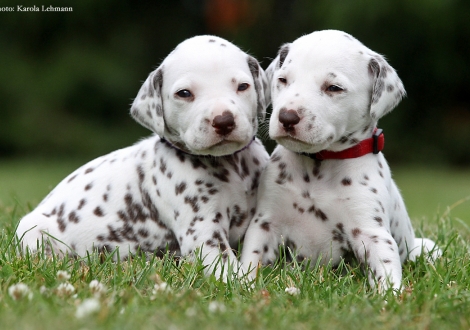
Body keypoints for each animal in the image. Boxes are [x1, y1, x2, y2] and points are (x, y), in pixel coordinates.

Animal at [15, 35, 272, 278]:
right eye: (184, 93)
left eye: (242, 86)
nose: (224, 121)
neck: (232, 166)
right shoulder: (202, 232)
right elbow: (229, 269)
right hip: (32, 230)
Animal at [242, 29, 440, 290]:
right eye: (282, 80)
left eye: (334, 88)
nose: (287, 117)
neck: (318, 165)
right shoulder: (265, 223)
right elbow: (251, 258)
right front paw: (242, 284)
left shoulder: (371, 232)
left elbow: (386, 272)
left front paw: (391, 296)